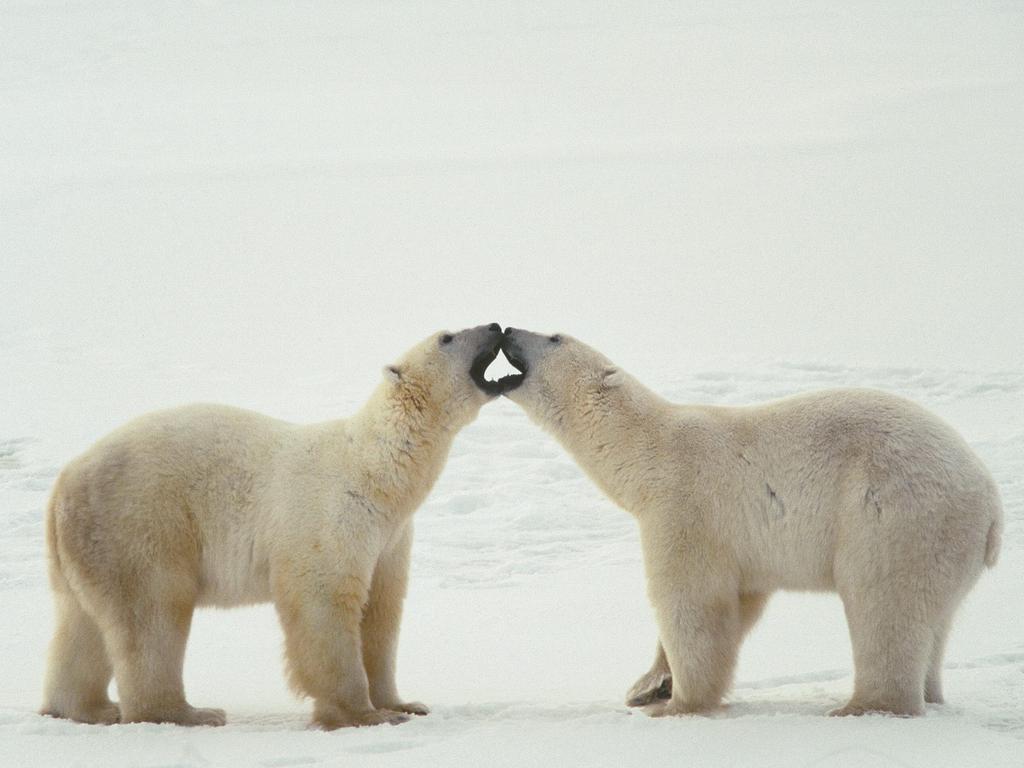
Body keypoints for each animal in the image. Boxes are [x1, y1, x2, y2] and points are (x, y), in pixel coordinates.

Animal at [41, 323, 509, 729]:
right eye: (447, 336)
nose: (494, 326)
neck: (377, 472)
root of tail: (64, 482)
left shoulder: (390, 538)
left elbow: (381, 610)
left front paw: (404, 703)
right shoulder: (331, 515)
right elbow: (325, 603)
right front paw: (363, 714)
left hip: (89, 545)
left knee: (81, 625)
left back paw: (85, 708)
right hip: (140, 523)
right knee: (153, 614)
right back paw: (188, 713)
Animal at [499, 327, 1003, 720]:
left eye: (553, 336)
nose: (506, 330)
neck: (647, 451)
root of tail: (991, 503)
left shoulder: (686, 507)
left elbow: (692, 603)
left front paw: (678, 703)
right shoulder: (743, 545)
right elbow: (740, 601)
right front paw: (647, 685)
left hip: (894, 515)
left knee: (884, 605)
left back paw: (862, 705)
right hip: (943, 544)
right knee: (935, 621)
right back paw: (929, 694)